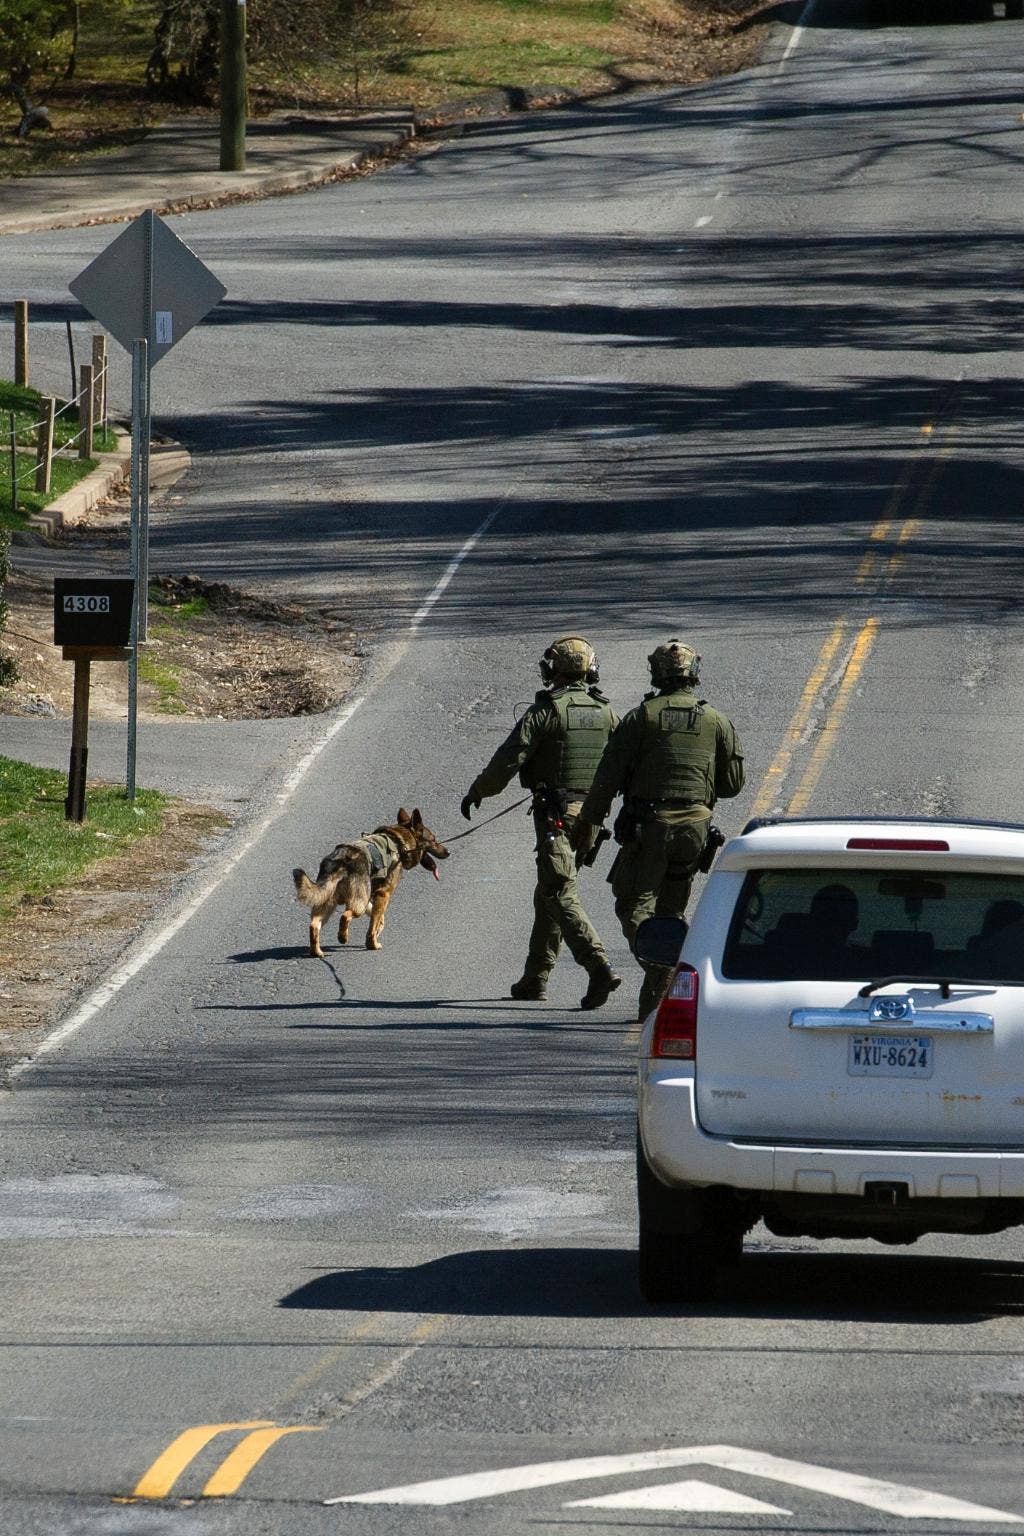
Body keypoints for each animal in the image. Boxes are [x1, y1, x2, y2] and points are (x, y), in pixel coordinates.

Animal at [290, 811, 445, 952]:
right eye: (434, 840)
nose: (448, 852)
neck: (399, 842)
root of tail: (341, 861)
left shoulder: (371, 897)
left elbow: (378, 919)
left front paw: (377, 931)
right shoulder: (383, 894)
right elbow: (373, 925)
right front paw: (372, 944)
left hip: (328, 902)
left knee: (314, 925)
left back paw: (317, 952)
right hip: (358, 904)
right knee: (345, 916)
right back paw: (342, 937)